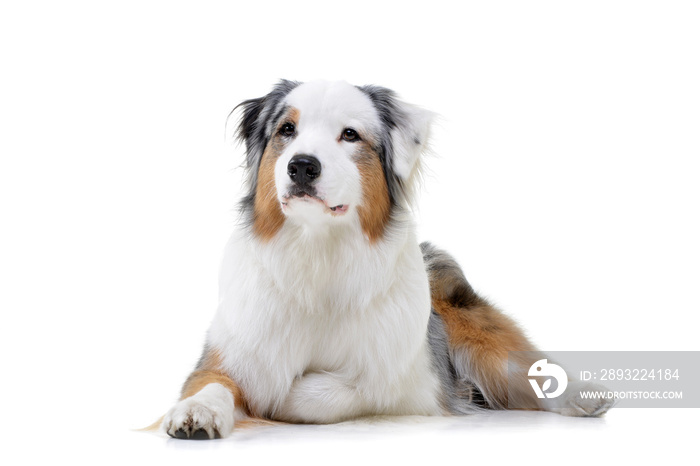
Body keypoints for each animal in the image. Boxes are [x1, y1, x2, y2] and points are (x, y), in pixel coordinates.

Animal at [160, 80, 612, 440]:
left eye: (350, 135)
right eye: (287, 130)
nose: (301, 165)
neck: (317, 254)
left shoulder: (411, 381)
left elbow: (333, 391)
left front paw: (278, 401)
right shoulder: (226, 354)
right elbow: (213, 383)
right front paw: (198, 411)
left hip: (468, 324)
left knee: (519, 363)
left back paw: (583, 397)